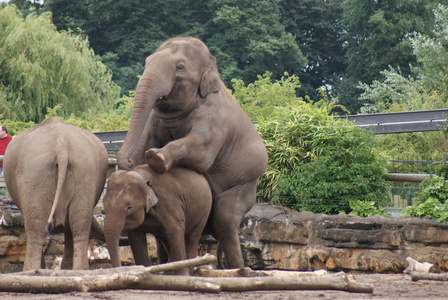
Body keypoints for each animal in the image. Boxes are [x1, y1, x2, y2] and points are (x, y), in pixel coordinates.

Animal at [3, 116, 108, 270]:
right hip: (85, 172)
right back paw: (78, 270)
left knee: (36, 227)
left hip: (34, 174)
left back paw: (31, 269)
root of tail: (61, 143)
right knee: (80, 223)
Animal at [117, 36, 268, 268]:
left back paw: (238, 269)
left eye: (180, 67)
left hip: (243, 183)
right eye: (146, 61)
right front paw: (140, 159)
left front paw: (156, 157)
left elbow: (202, 152)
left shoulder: (215, 118)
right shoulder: (154, 120)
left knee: (224, 222)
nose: (129, 163)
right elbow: (144, 141)